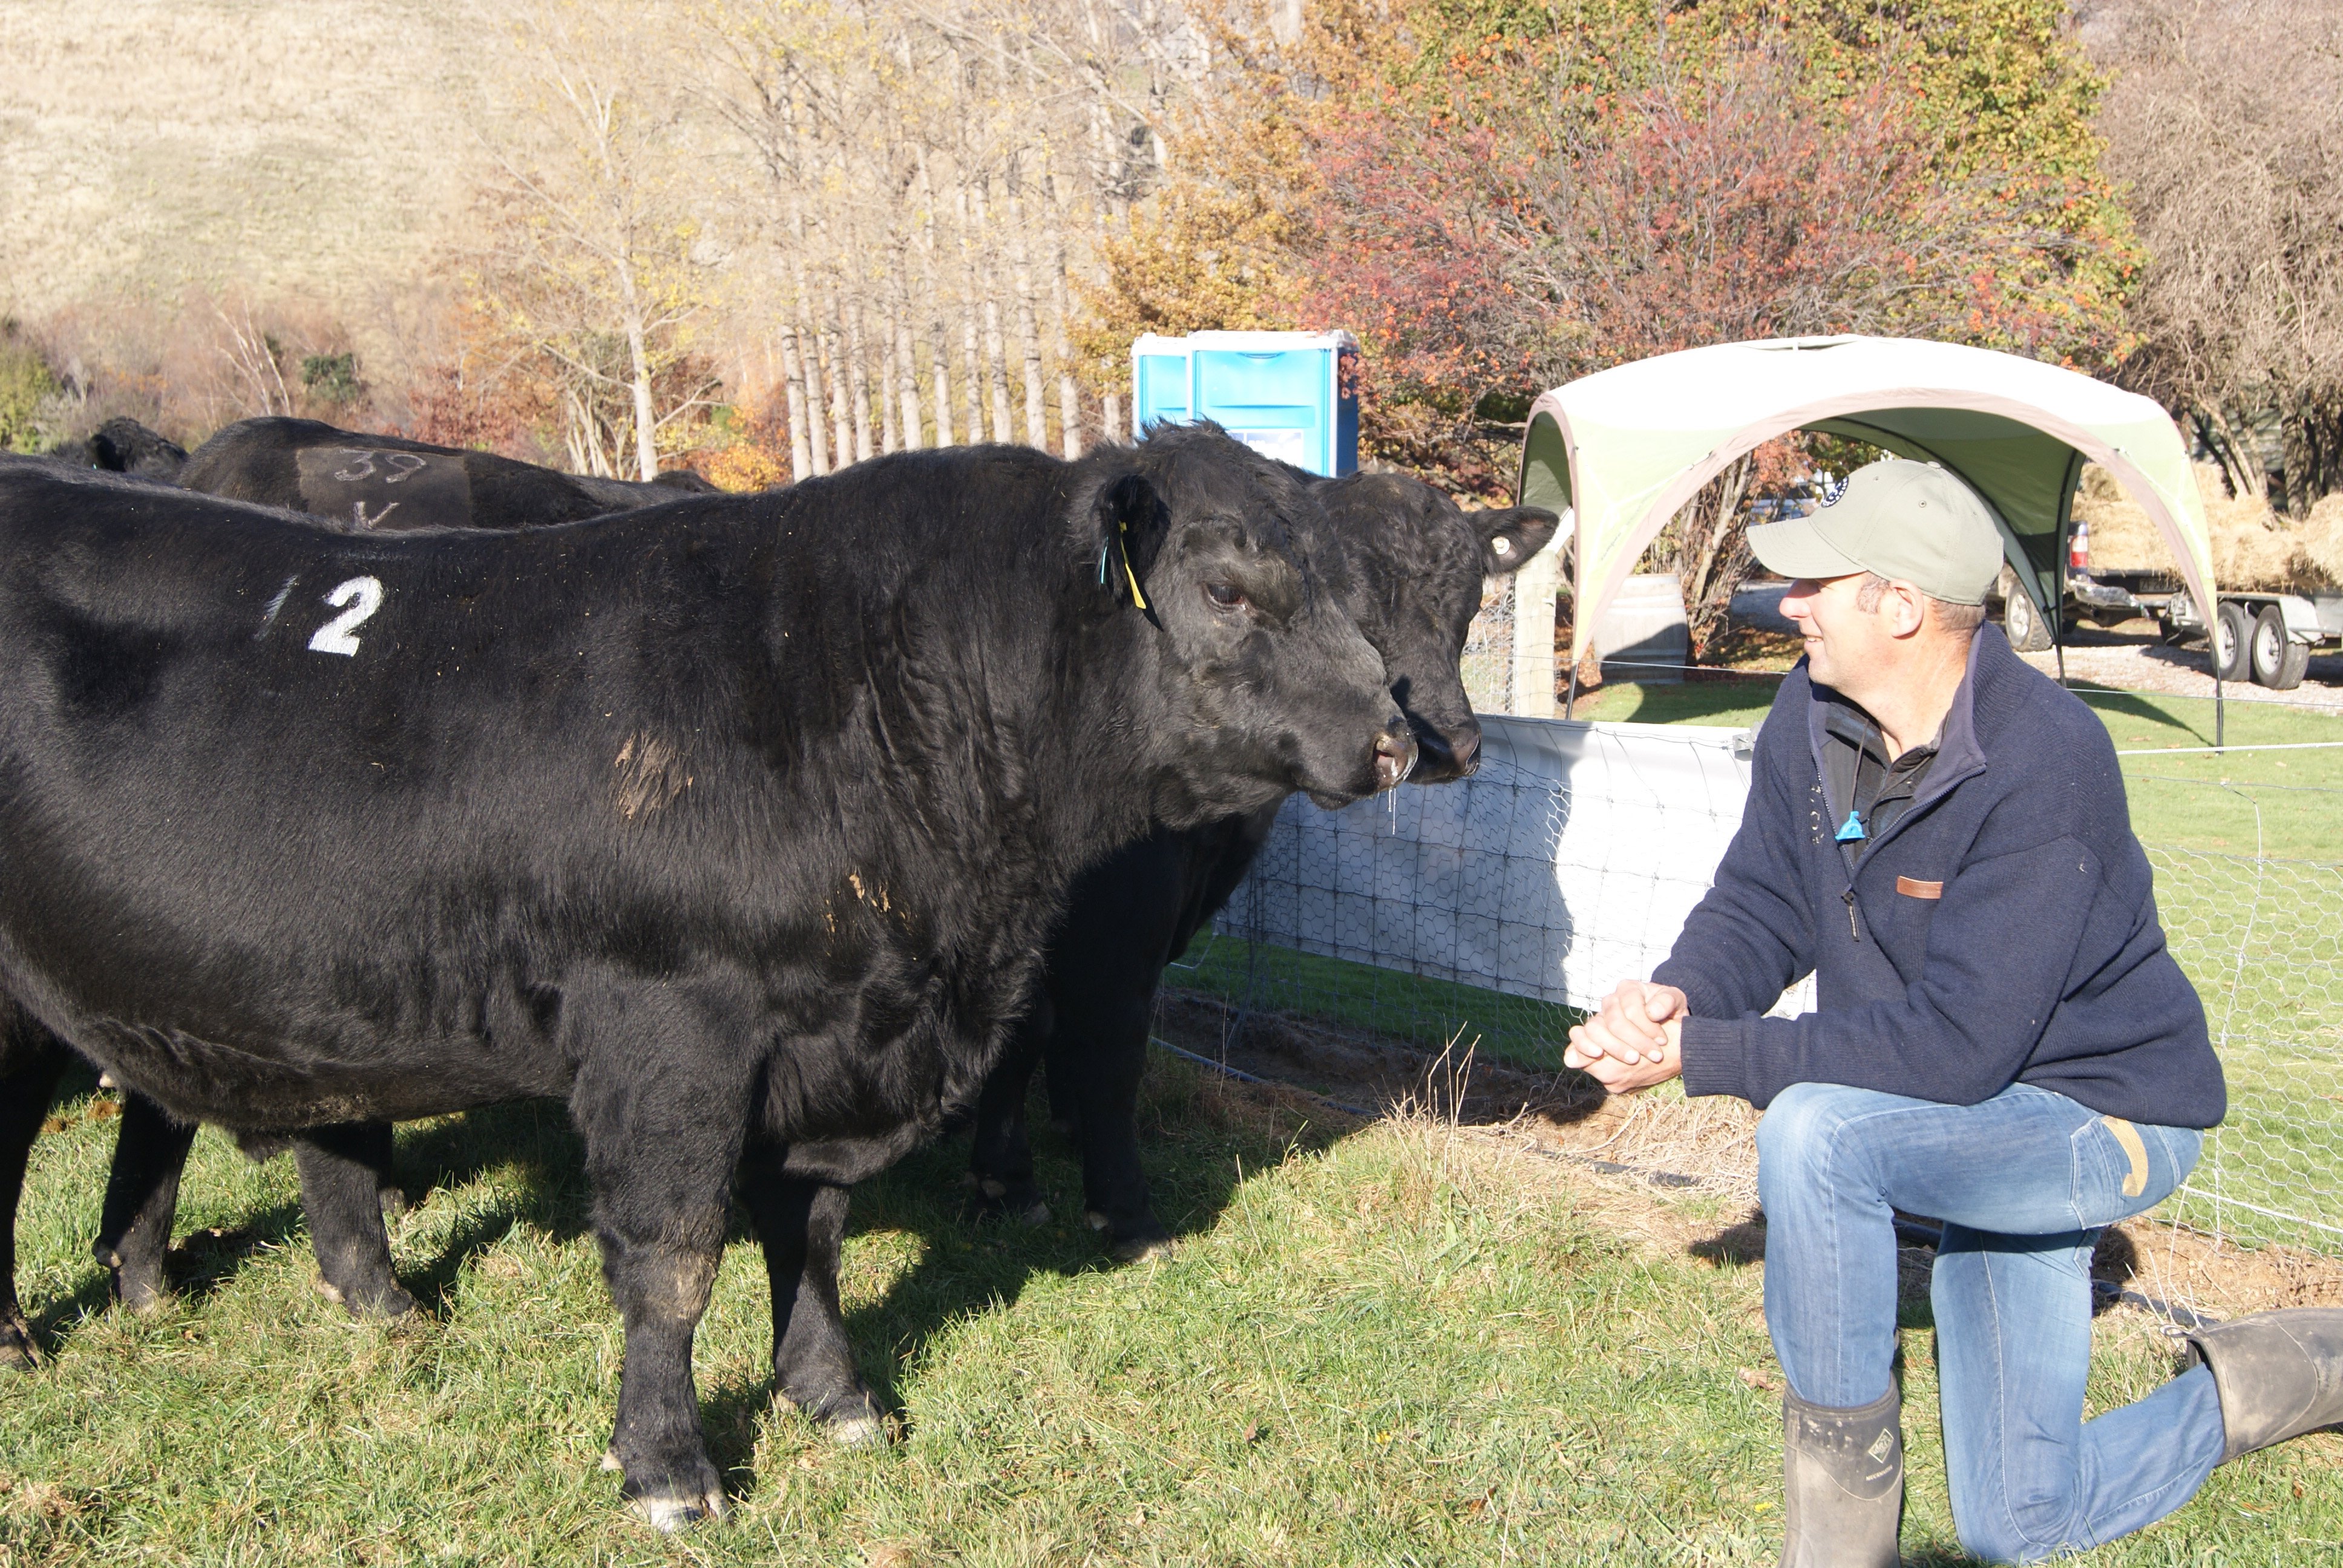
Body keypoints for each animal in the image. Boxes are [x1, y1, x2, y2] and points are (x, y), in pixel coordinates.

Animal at [0, 424, 1406, 1518]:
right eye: (1228, 590)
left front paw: (836, 1398)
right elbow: (674, 1261)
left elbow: (814, 1231)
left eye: (1345, 585)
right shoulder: (669, 1028)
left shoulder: (831, 1039)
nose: (1395, 733)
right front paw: (670, 1467)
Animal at [970, 478, 1556, 1247]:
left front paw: (1048, 1141)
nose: (1447, 746)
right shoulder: (1117, 914)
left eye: (1469, 601)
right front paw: (1095, 1202)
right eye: (1344, 601)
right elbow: (1090, 1038)